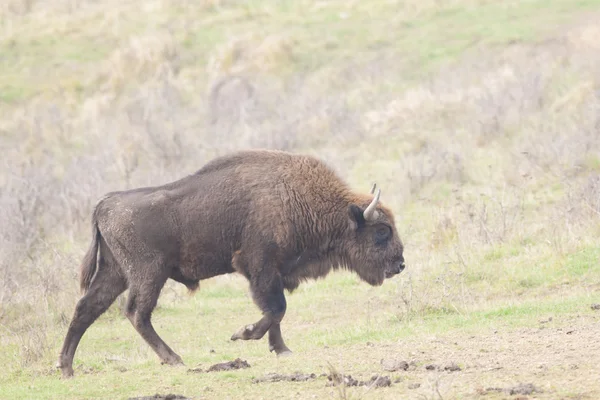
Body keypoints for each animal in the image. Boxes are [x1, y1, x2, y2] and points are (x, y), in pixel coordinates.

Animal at [56, 149, 406, 378]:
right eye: (381, 231)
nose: (400, 264)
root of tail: (105, 203)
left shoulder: (274, 273)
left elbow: (276, 312)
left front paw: (281, 349)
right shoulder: (260, 267)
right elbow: (275, 310)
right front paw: (244, 334)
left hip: (116, 273)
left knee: (87, 308)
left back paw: (66, 367)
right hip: (148, 274)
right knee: (136, 313)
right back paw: (174, 359)